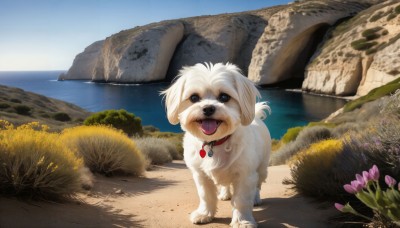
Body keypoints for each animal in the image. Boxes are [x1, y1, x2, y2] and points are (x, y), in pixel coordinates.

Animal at [162, 62, 272, 228]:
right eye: (194, 97)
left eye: (224, 97)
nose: (208, 108)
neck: (215, 143)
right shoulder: (200, 175)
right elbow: (205, 195)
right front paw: (204, 214)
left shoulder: (245, 175)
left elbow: (241, 200)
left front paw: (242, 220)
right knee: (226, 184)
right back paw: (225, 194)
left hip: (262, 167)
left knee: (258, 183)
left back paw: (256, 198)